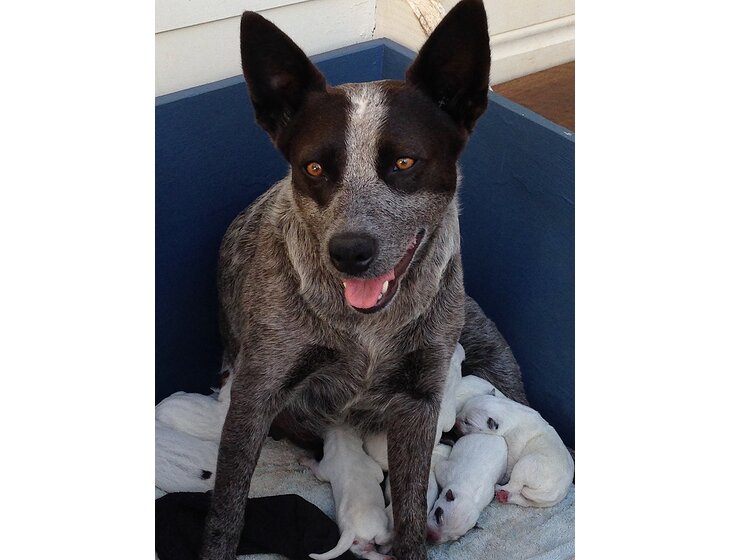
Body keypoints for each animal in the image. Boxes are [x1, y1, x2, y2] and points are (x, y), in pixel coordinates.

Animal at [301, 425, 393, 560]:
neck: (342, 444)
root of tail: (350, 530)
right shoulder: (375, 468)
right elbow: (380, 476)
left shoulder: (323, 470)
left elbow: (316, 468)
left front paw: (304, 460)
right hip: (378, 521)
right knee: (380, 538)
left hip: (359, 547)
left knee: (369, 552)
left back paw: (388, 557)